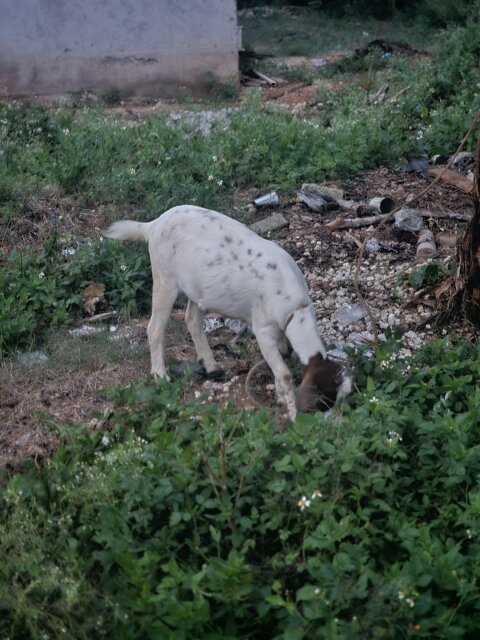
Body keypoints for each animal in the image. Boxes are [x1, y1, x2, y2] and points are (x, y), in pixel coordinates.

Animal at [104, 205, 351, 420]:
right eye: (324, 401)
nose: (333, 422)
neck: (295, 307)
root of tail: (153, 225)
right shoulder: (263, 330)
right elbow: (283, 373)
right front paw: (292, 414)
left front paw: (281, 397)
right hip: (165, 279)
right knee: (155, 328)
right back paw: (160, 375)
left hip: (196, 288)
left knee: (192, 319)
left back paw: (211, 365)